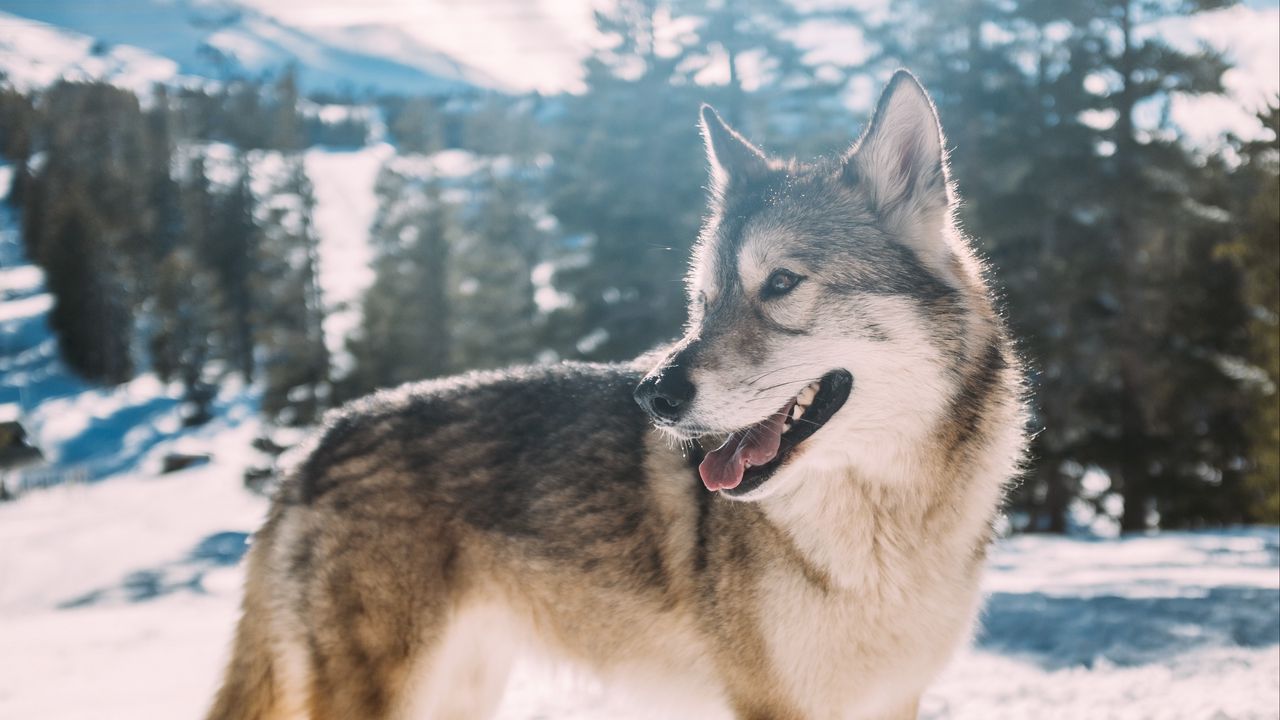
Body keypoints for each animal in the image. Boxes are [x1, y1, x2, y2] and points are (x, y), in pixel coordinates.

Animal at [209, 71, 1029, 717]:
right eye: (702, 301)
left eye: (781, 284)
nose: (654, 394)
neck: (885, 525)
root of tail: (317, 444)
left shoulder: (893, 698)